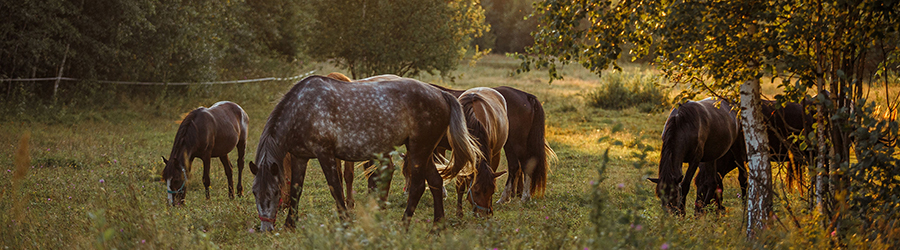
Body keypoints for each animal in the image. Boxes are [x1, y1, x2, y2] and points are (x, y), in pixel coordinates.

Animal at [250, 75, 482, 231]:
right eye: (254, 193)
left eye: (275, 192)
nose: (266, 229)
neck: (303, 109)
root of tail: (442, 94)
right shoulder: (301, 157)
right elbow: (296, 190)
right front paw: (290, 224)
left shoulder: (325, 154)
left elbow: (335, 188)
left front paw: (345, 222)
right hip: (424, 152)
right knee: (435, 182)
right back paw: (437, 226)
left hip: (419, 150)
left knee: (417, 187)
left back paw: (404, 225)